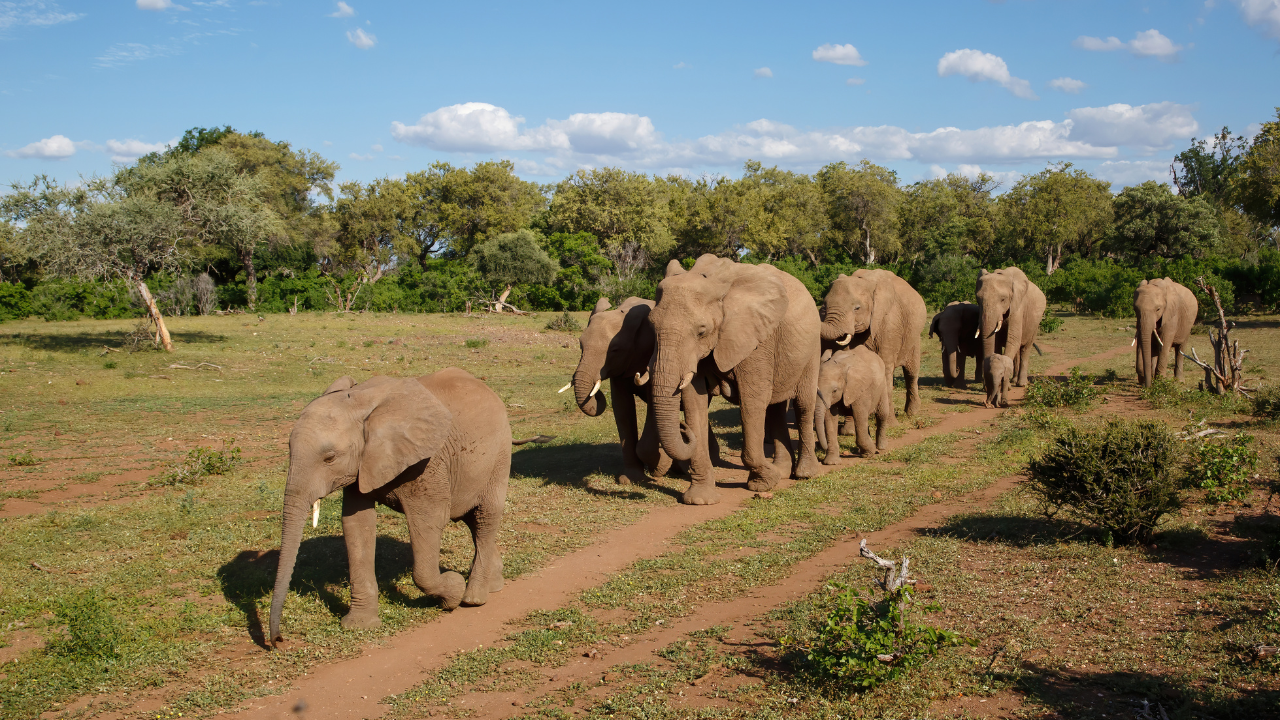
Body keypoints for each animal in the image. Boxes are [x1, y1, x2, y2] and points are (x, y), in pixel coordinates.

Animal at [269, 368, 510, 645]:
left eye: (329, 458)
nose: (278, 641)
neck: (361, 402)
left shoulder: (427, 461)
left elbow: (429, 521)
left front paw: (452, 591)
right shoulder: (362, 462)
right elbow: (357, 523)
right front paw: (360, 626)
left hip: (499, 456)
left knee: (485, 518)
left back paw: (473, 598)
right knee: (473, 522)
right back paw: (493, 585)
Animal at [564, 296, 720, 485]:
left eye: (614, 350)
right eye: (581, 345)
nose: (597, 394)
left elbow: (651, 409)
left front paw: (661, 466)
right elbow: (622, 409)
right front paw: (629, 479)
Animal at [648, 254, 822, 502]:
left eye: (701, 331)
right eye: (651, 326)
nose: (682, 427)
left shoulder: (757, 340)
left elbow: (753, 401)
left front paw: (763, 483)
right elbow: (694, 403)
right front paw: (700, 500)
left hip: (812, 347)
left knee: (803, 404)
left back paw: (805, 474)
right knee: (776, 408)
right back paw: (782, 470)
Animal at [819, 268, 927, 419]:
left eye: (857, 308)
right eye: (824, 306)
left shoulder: (889, 324)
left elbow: (885, 365)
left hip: (914, 336)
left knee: (911, 372)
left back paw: (912, 413)